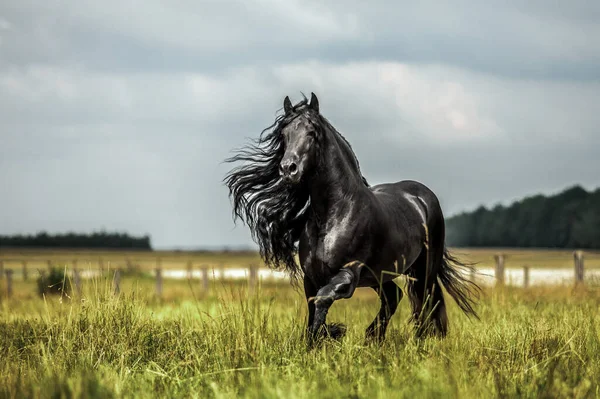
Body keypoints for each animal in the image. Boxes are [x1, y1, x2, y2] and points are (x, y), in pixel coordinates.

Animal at [223, 93, 480, 344]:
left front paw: (332, 333)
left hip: (423, 268)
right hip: (380, 275)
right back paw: (373, 338)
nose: (288, 169)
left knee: (426, 300)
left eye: (312, 132)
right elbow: (313, 309)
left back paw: (423, 339)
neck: (332, 217)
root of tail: (422, 196)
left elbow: (323, 299)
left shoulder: (349, 273)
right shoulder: (311, 278)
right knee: (394, 297)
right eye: (284, 135)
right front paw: (318, 341)